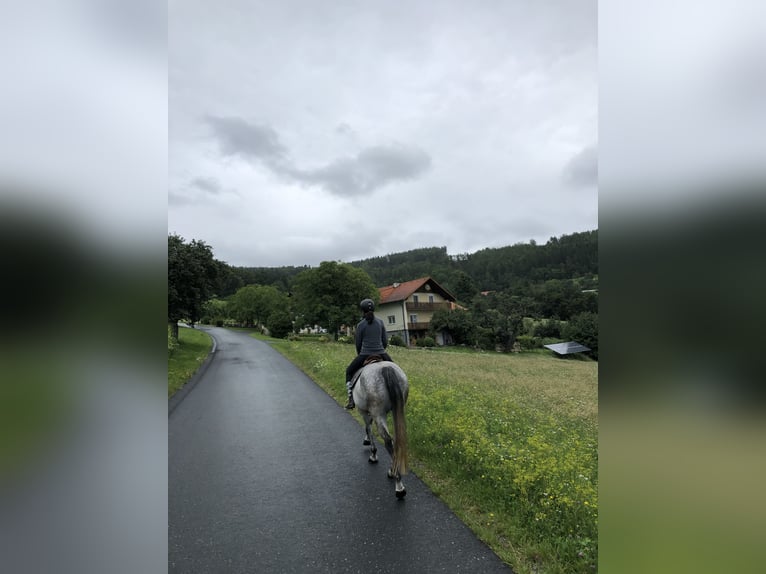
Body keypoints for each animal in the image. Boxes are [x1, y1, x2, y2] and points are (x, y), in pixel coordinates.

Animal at [354, 360, 414, 500]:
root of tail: (385, 368)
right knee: (395, 441)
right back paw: (393, 471)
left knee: (387, 441)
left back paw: (399, 486)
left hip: (379, 413)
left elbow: (368, 429)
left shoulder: (364, 412)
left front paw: (373, 454)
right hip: (397, 409)